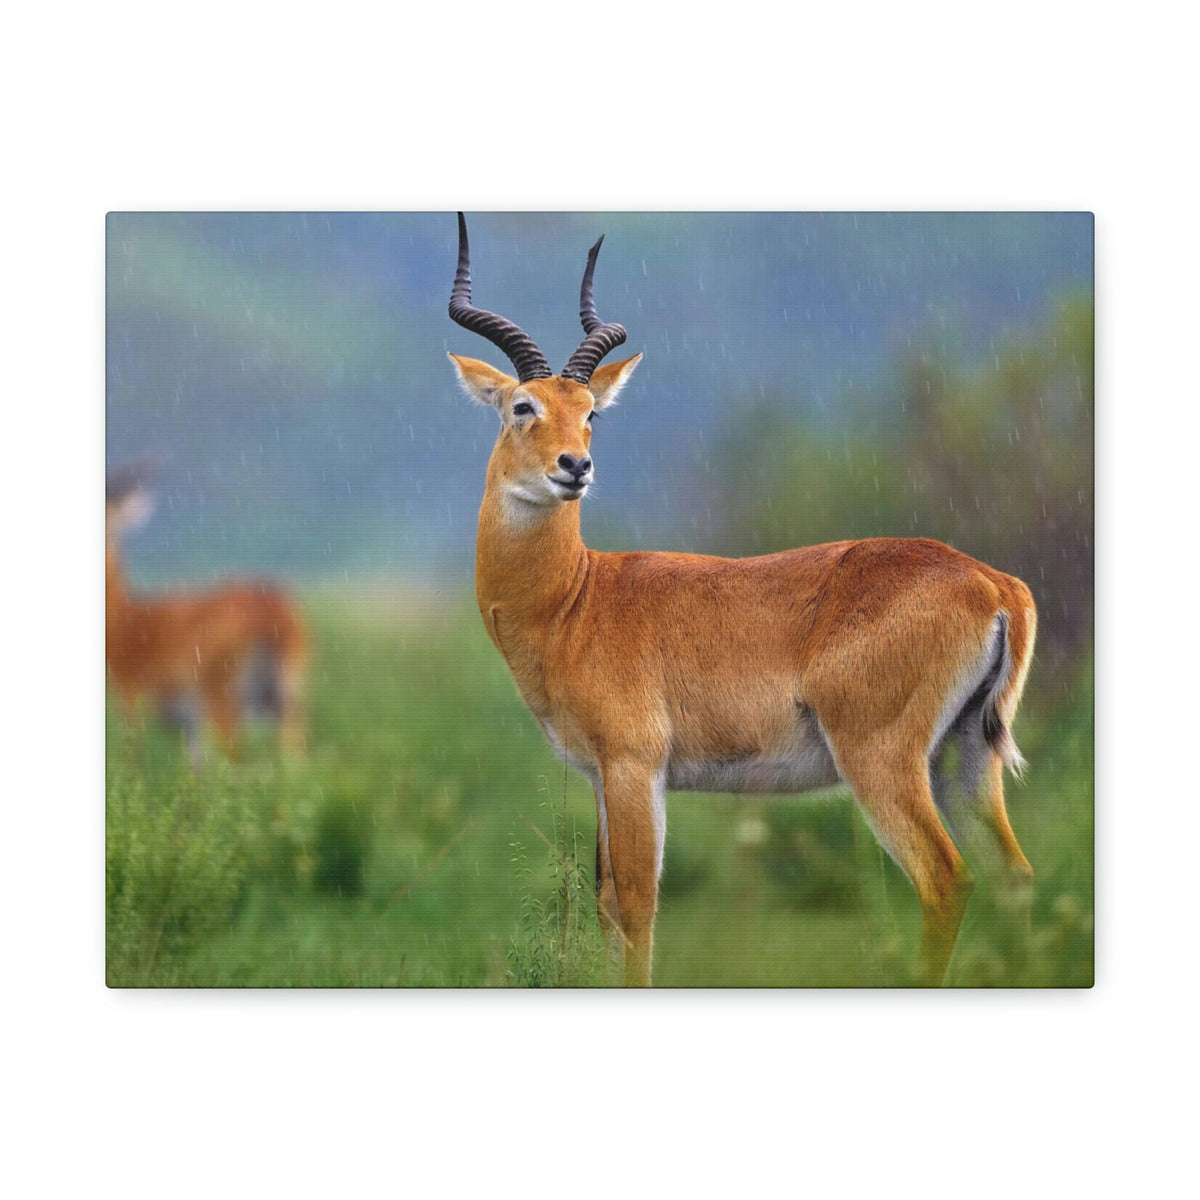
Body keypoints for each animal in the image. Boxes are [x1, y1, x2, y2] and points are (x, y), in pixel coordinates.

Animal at [105, 466, 307, 759]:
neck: (125, 619)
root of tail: (272, 610)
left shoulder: (131, 695)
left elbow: (133, 757)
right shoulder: (190, 727)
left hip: (223, 696)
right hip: (287, 694)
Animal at [447, 214, 1036, 986]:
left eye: (590, 413)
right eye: (524, 405)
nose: (575, 467)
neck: (576, 599)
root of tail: (993, 583)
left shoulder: (634, 765)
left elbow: (636, 905)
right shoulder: (603, 775)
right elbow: (607, 904)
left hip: (882, 759)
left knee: (946, 879)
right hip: (966, 756)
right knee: (1014, 878)